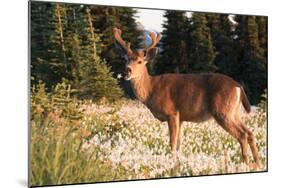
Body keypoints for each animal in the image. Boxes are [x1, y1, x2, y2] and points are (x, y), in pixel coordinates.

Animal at [112, 26, 260, 167]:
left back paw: (246, 163)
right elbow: (179, 144)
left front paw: (172, 163)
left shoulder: (172, 113)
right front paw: (178, 161)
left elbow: (172, 143)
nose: (127, 71)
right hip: (234, 112)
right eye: (126, 59)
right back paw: (257, 163)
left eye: (140, 61)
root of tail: (238, 86)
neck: (151, 89)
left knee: (242, 135)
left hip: (223, 111)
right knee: (249, 133)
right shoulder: (181, 117)